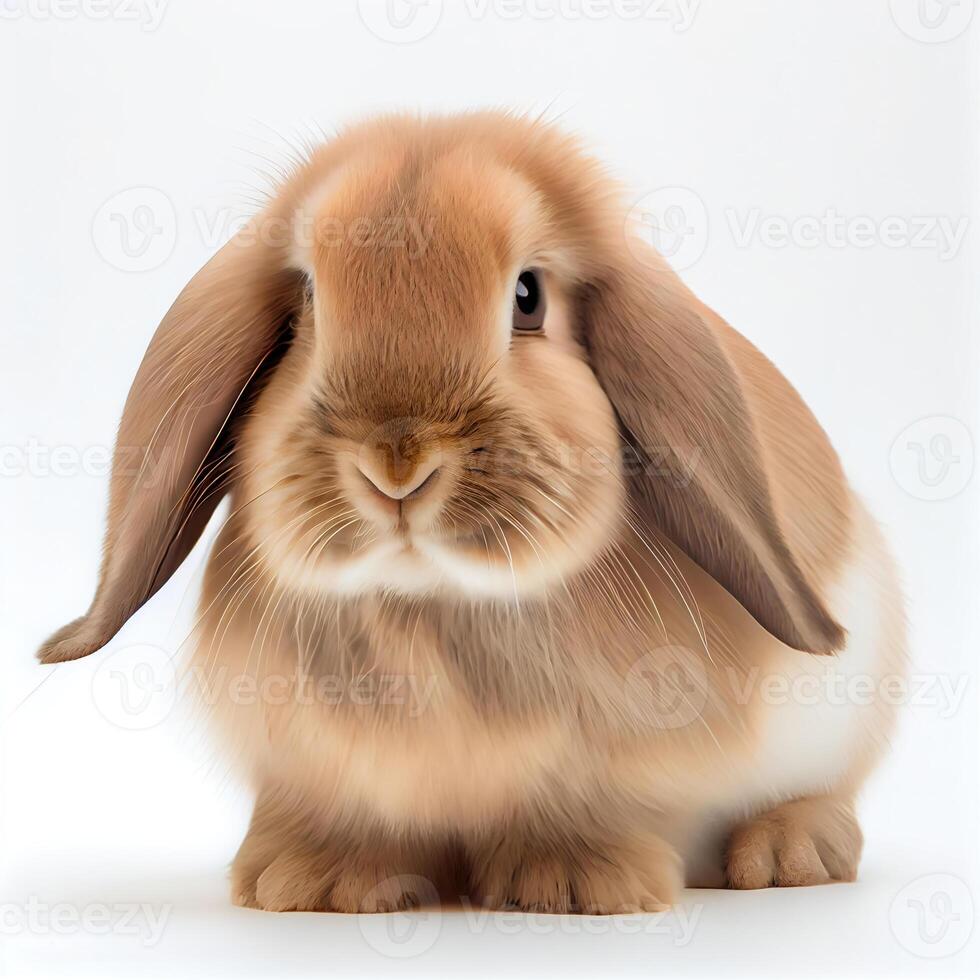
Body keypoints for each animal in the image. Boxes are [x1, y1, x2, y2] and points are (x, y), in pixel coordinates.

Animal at [38, 111, 904, 916]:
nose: (396, 463)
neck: (428, 612)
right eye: (308, 298)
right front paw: (317, 884)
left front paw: (570, 883)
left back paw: (787, 855)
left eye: (528, 297)